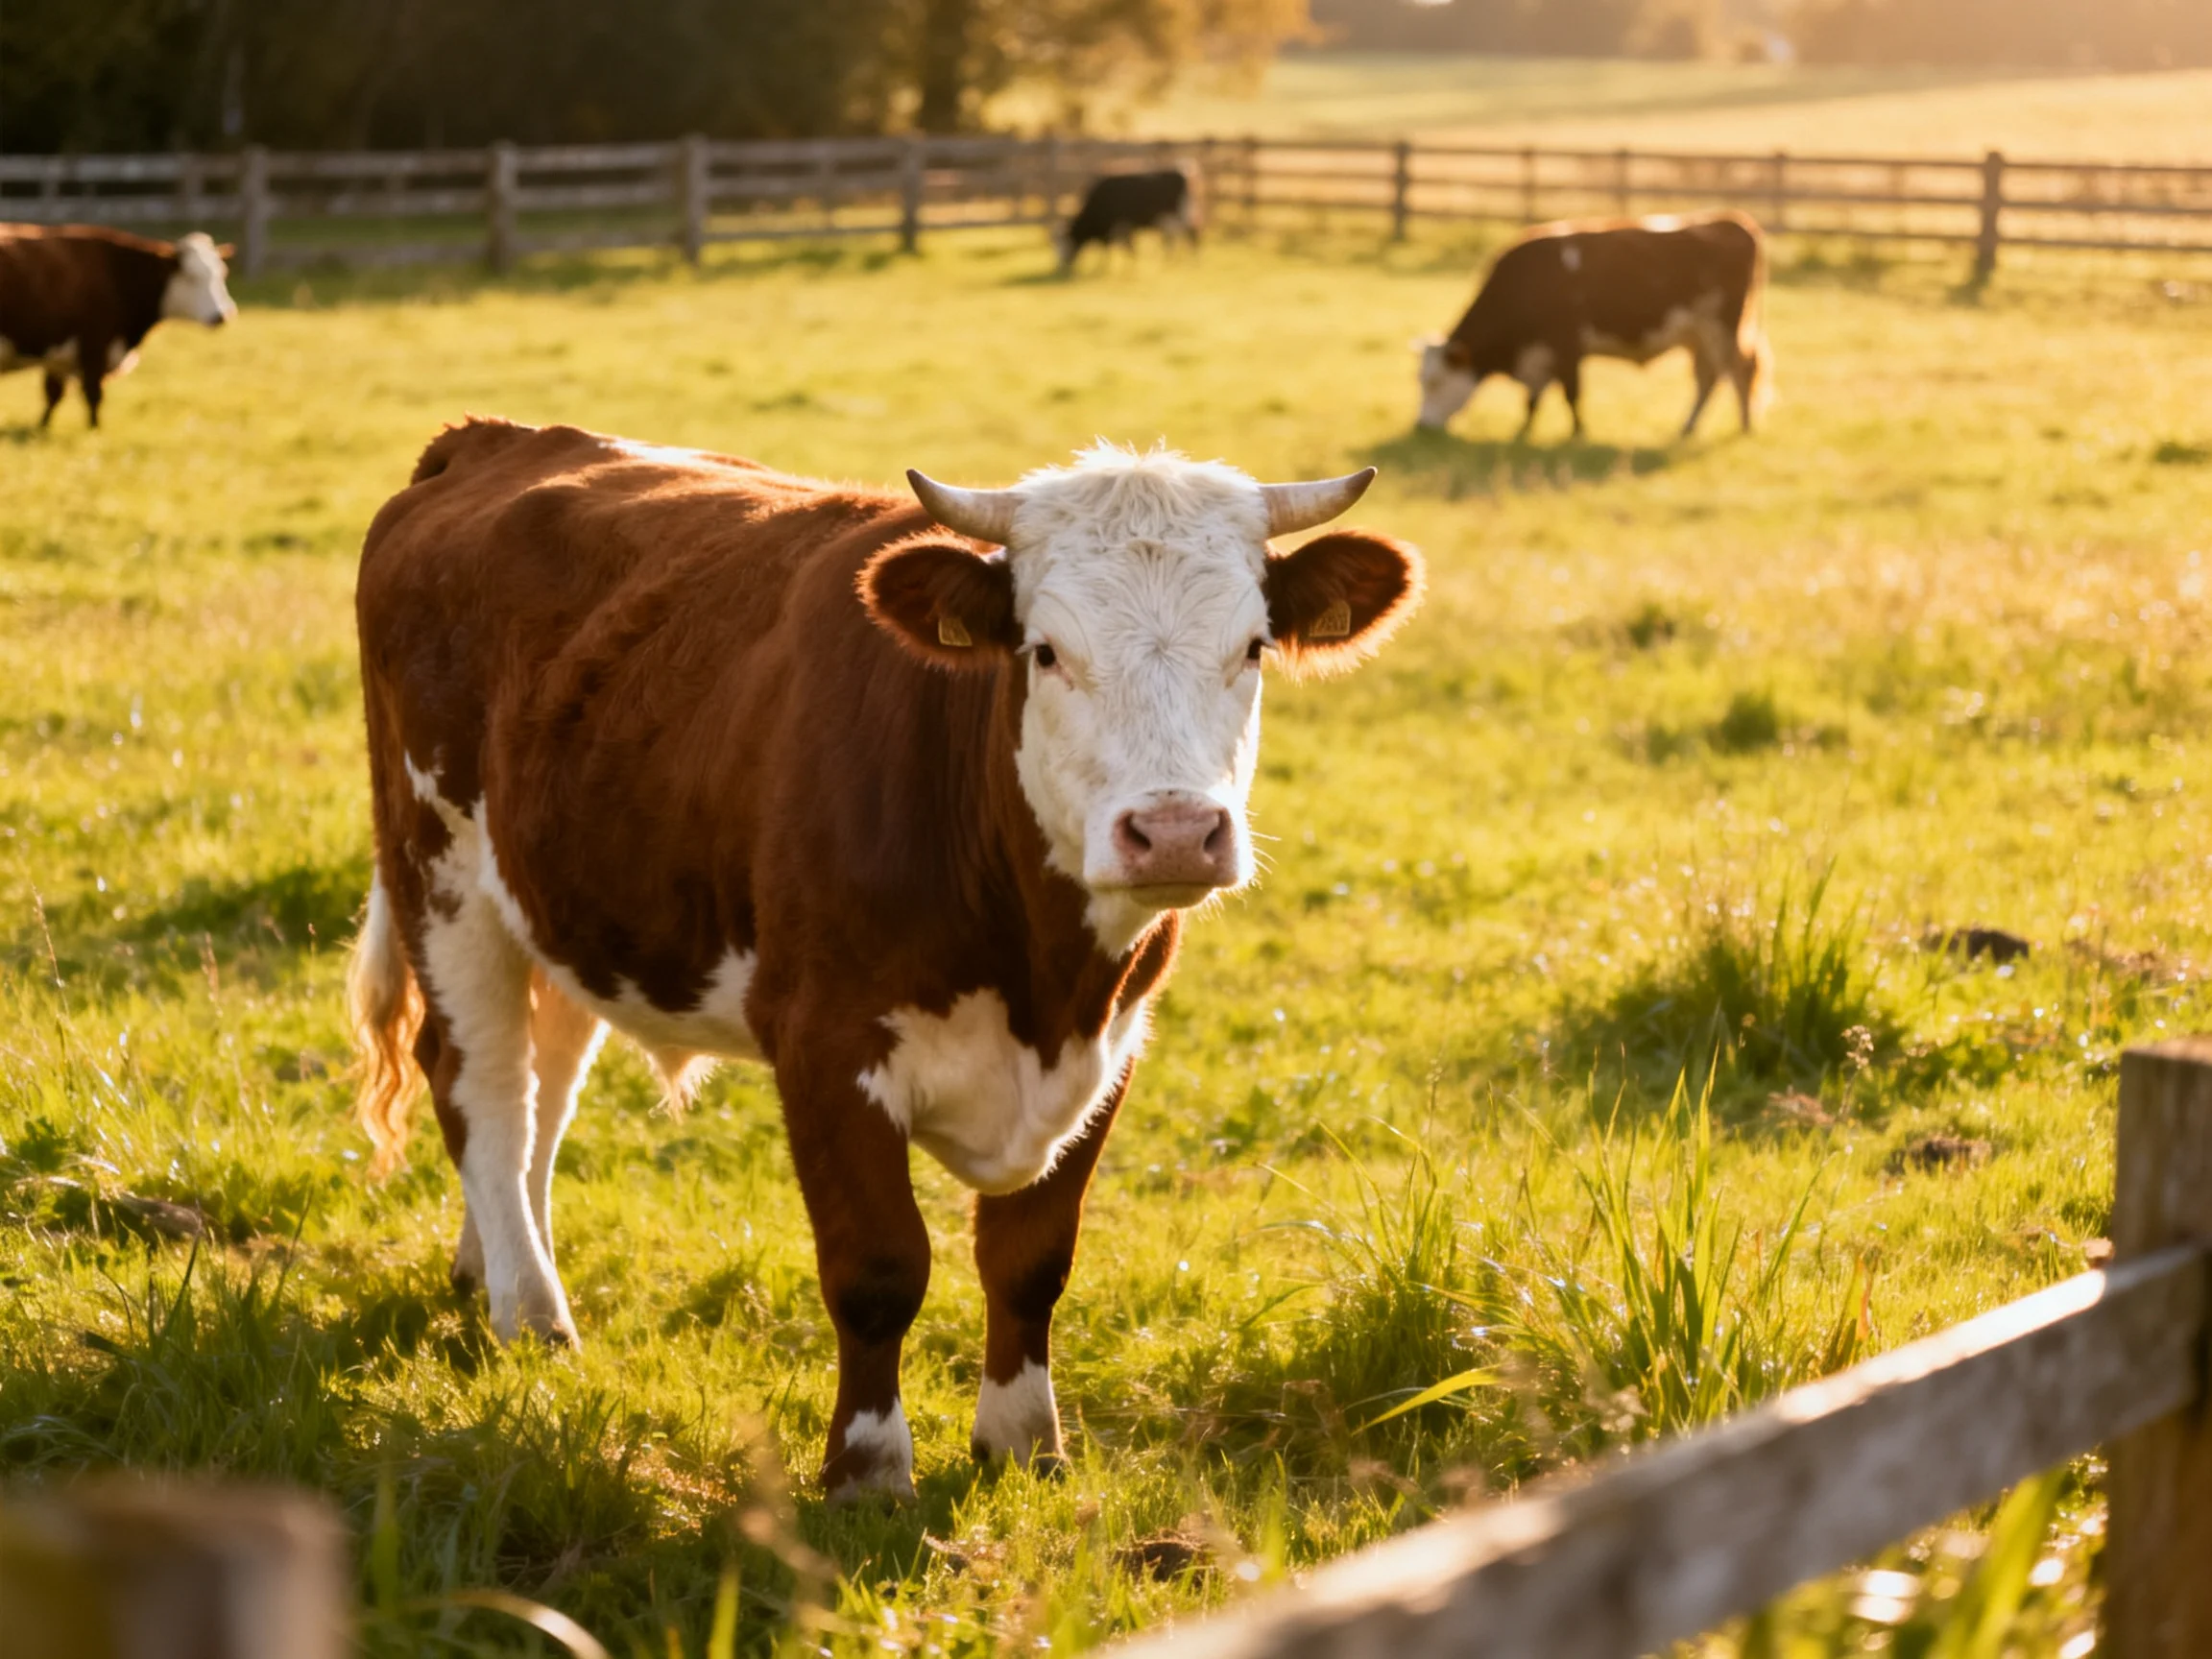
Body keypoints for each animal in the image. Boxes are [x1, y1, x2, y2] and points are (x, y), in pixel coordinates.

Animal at [0, 226, 236, 428]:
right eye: (191, 278)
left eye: (221, 274)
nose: (223, 315)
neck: (117, 272)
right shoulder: (95, 347)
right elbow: (93, 395)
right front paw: (94, 430)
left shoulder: (59, 358)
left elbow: (53, 395)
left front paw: (42, 427)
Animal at [349, 421, 1422, 1501]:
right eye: (1045, 651)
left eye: (1251, 647)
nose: (1172, 833)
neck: (1041, 979)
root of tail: (494, 441)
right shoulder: (824, 1045)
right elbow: (878, 1269)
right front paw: (868, 1472)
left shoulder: (1113, 1040)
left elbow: (1031, 1260)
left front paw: (1024, 1444)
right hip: (440, 873)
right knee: (482, 1089)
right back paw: (532, 1314)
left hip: (563, 904)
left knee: (544, 1091)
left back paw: (491, 1267)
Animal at [1056, 169, 1199, 273]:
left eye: (1065, 243)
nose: (1063, 267)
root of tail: (1183, 174)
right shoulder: (1122, 229)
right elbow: (1127, 248)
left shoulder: (1119, 226)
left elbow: (1116, 248)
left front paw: (1103, 268)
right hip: (1172, 220)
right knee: (1174, 239)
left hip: (1177, 217)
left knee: (1187, 235)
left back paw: (1184, 261)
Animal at [1415, 211, 1771, 441]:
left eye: (1435, 381)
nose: (1421, 426)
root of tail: (1734, 220)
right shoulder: (1539, 356)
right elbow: (1533, 399)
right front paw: (1522, 432)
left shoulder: (1566, 346)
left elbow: (1572, 394)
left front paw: (1577, 434)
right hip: (1697, 334)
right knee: (1708, 378)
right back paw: (1688, 427)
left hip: (1723, 329)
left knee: (1740, 371)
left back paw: (1745, 425)